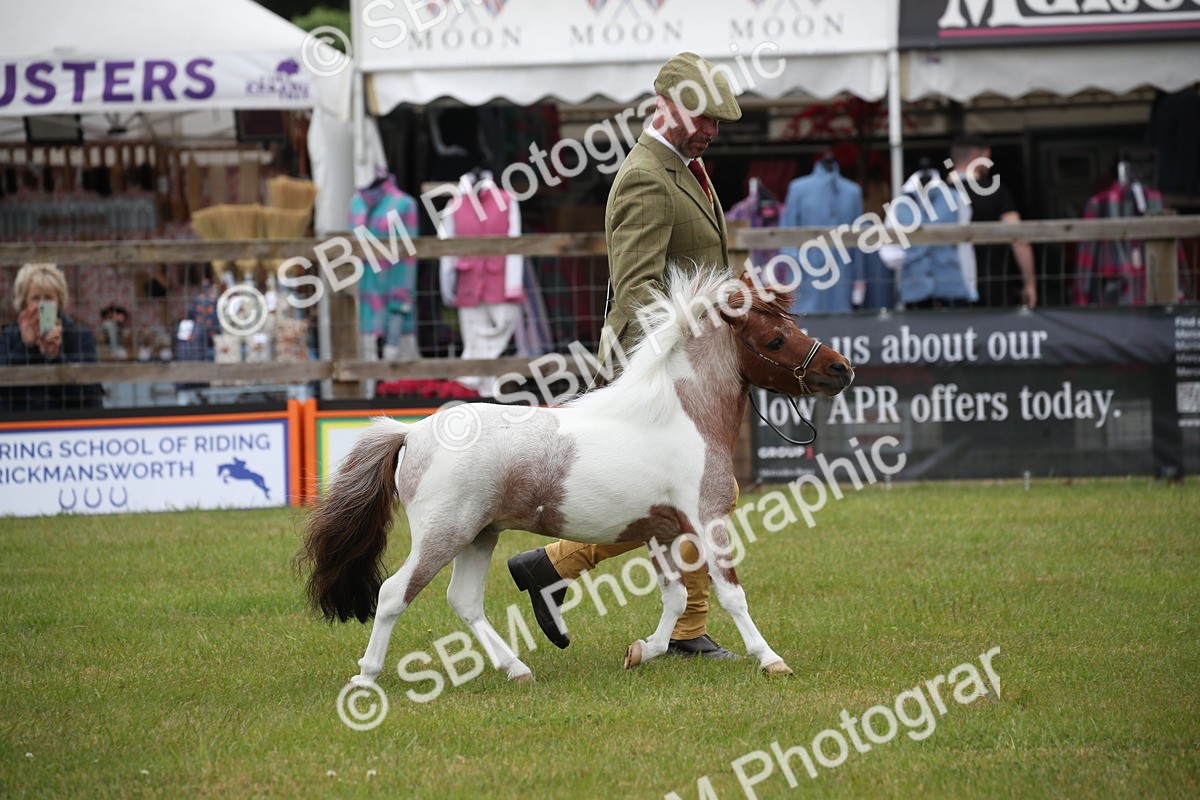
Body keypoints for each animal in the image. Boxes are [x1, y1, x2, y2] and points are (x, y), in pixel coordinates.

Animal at [297, 266, 854, 687]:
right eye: (775, 339)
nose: (841, 369)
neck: (679, 416)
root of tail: (412, 433)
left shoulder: (660, 531)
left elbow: (675, 598)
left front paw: (641, 651)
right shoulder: (707, 520)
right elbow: (731, 592)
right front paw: (772, 660)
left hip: (480, 535)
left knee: (465, 601)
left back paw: (517, 669)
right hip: (444, 533)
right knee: (394, 594)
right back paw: (366, 677)